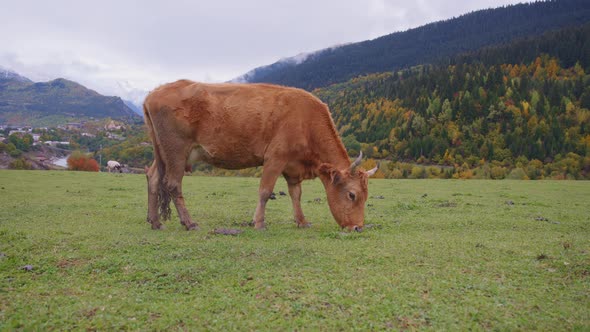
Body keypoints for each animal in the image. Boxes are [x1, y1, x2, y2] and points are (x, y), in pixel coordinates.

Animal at [146, 80, 382, 231]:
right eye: (352, 195)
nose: (358, 227)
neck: (307, 121)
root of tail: (154, 92)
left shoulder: (292, 167)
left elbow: (296, 194)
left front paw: (302, 221)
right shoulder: (275, 158)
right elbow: (265, 191)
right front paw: (258, 223)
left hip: (162, 153)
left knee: (153, 177)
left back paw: (155, 222)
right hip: (176, 151)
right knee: (173, 184)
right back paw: (189, 223)